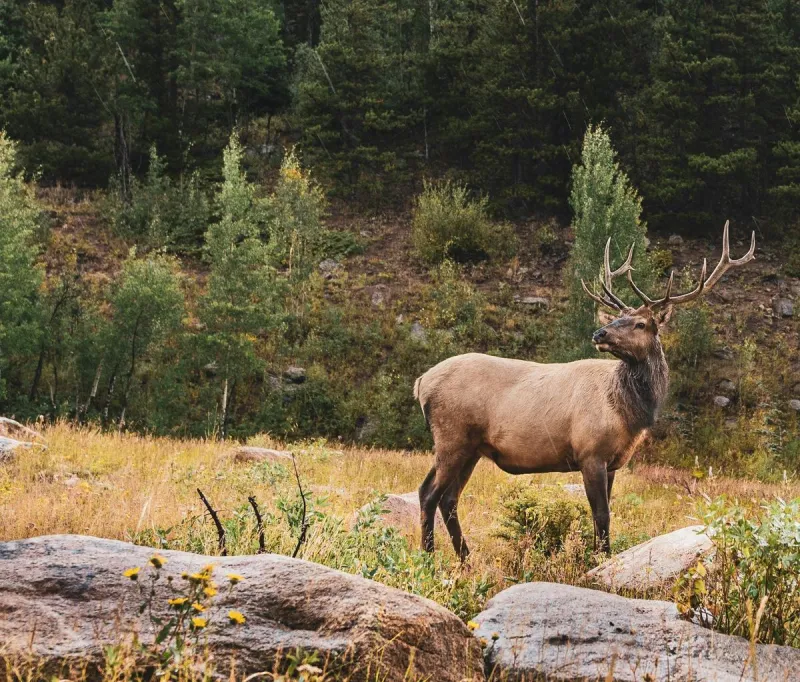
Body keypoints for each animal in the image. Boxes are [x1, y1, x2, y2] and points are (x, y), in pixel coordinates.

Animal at [414, 221, 755, 559]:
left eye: (641, 323)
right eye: (619, 317)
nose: (599, 333)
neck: (628, 414)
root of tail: (421, 383)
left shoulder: (613, 461)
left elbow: (600, 516)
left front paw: (596, 556)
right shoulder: (590, 452)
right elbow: (602, 515)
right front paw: (600, 560)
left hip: (471, 447)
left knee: (449, 498)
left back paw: (466, 559)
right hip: (452, 436)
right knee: (429, 493)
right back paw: (429, 556)